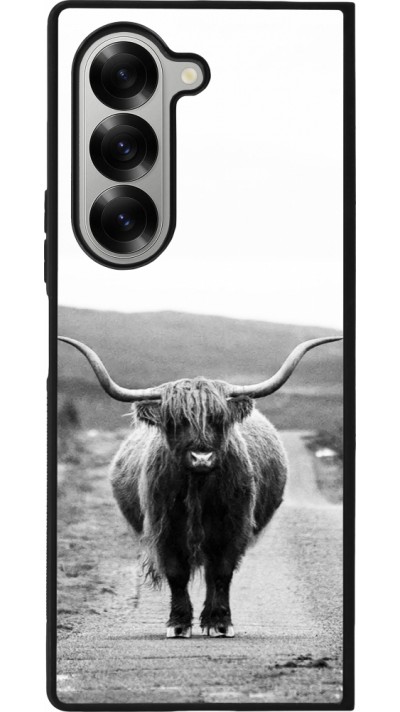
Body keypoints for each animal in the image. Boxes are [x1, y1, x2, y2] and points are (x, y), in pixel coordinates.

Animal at [58, 334, 342, 638]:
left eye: (218, 419)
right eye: (175, 421)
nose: (201, 457)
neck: (198, 487)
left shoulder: (233, 527)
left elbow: (221, 573)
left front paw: (220, 622)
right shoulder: (164, 528)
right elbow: (177, 573)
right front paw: (178, 623)